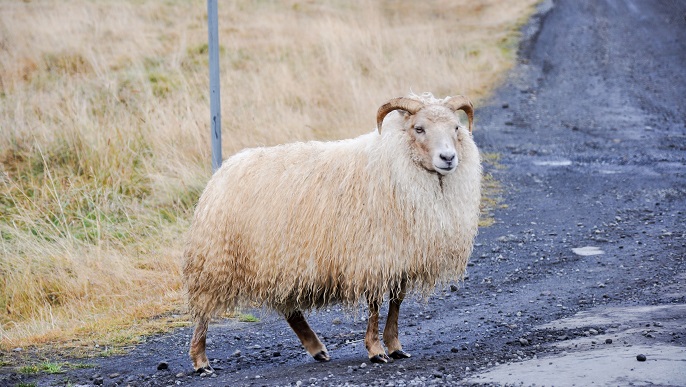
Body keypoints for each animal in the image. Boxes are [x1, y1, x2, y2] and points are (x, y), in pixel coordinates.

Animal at [183, 91, 484, 372]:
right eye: (418, 128)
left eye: (456, 128)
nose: (448, 158)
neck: (392, 163)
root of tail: (222, 171)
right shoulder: (371, 255)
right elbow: (375, 305)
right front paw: (376, 350)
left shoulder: (400, 255)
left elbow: (397, 303)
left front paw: (395, 346)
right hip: (215, 261)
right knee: (203, 311)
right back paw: (201, 360)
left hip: (279, 262)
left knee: (289, 309)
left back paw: (316, 348)